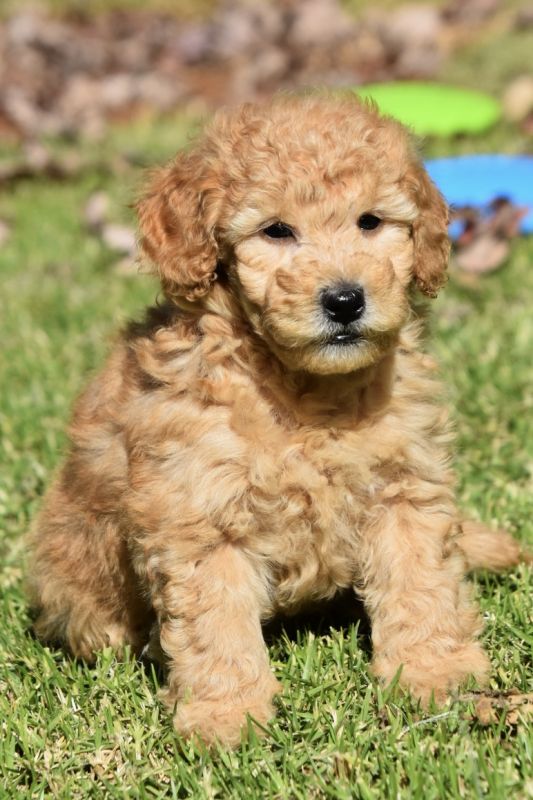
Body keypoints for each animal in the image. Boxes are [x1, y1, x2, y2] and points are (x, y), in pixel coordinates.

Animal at [28, 94, 526, 746]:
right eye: (276, 230)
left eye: (370, 222)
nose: (344, 300)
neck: (305, 392)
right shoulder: (199, 517)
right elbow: (215, 625)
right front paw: (227, 717)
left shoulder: (404, 486)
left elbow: (422, 584)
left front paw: (435, 673)